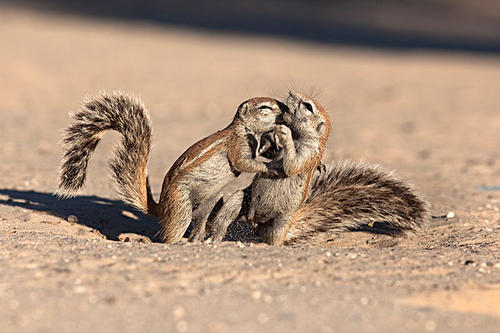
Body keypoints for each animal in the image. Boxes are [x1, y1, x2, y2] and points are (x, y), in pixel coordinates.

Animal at [56, 91, 288, 241]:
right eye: (265, 107)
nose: (286, 110)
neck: (244, 128)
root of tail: (160, 207)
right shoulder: (238, 144)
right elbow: (243, 162)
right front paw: (270, 167)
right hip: (181, 203)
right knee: (173, 231)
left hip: (207, 203)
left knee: (199, 223)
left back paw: (196, 240)